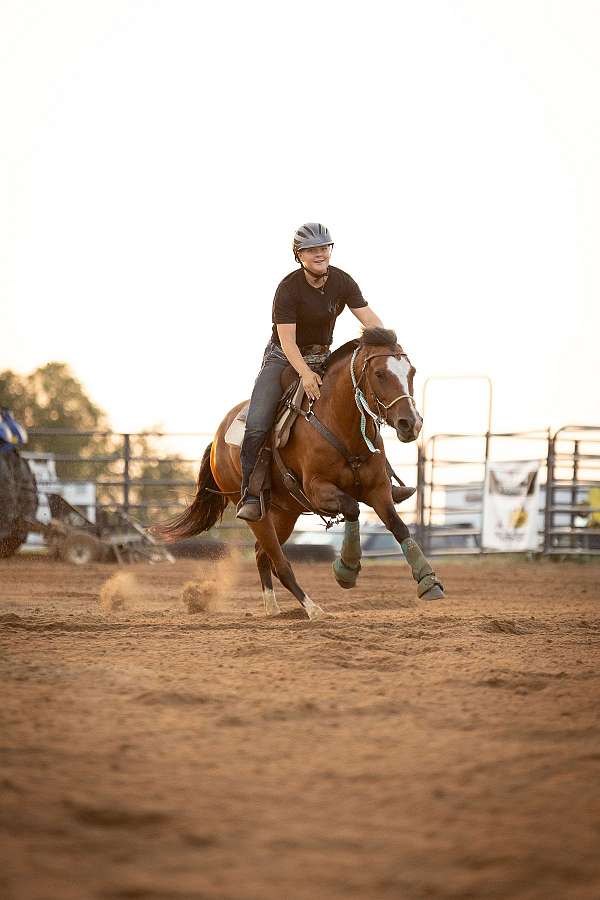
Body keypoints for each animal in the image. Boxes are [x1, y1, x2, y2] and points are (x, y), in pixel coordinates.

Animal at [154, 328, 446, 620]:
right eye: (380, 374)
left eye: (411, 372)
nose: (411, 423)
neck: (339, 423)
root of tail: (216, 443)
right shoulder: (318, 490)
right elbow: (352, 508)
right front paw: (346, 569)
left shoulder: (378, 489)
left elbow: (398, 526)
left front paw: (428, 581)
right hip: (257, 513)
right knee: (279, 561)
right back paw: (313, 609)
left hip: (285, 512)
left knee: (262, 555)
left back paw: (273, 608)